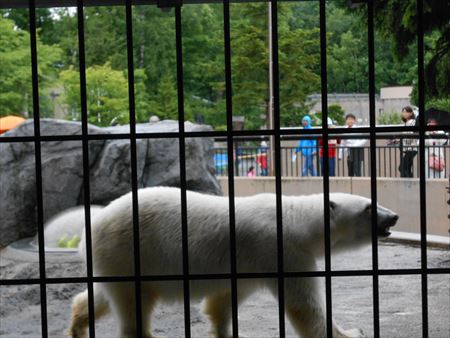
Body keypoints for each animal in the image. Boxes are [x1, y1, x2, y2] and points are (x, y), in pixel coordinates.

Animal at [67, 187, 398, 338]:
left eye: (374, 200)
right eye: (369, 207)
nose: (393, 216)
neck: (295, 221)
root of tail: (91, 227)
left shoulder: (251, 265)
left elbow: (223, 302)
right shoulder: (281, 251)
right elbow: (305, 308)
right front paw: (353, 332)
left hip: (114, 260)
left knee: (104, 295)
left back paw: (78, 325)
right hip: (129, 249)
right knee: (134, 304)